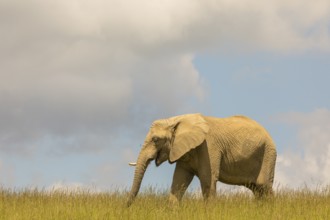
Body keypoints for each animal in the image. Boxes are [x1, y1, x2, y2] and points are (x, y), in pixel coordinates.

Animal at [126, 113, 276, 206]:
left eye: (155, 139)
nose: (127, 206)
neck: (177, 120)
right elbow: (179, 180)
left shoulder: (209, 147)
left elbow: (207, 179)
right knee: (258, 190)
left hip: (268, 154)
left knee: (264, 187)